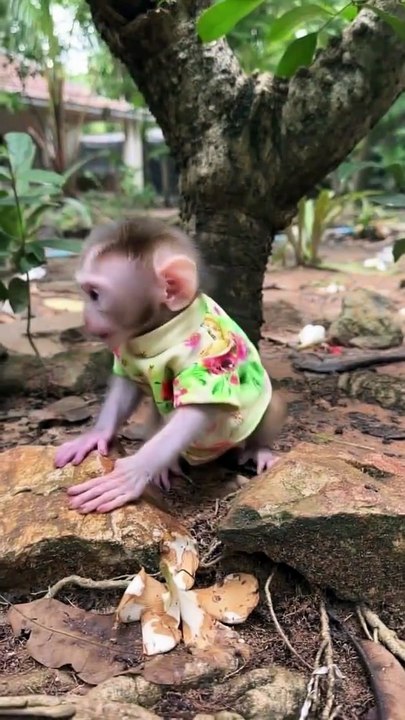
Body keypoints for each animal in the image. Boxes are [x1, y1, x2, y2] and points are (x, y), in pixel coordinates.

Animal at [54, 218, 287, 514]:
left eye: (95, 295)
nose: (85, 317)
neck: (160, 329)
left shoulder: (213, 351)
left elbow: (197, 412)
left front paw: (133, 471)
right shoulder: (127, 347)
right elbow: (126, 386)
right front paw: (96, 435)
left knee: (272, 405)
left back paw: (258, 450)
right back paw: (169, 464)